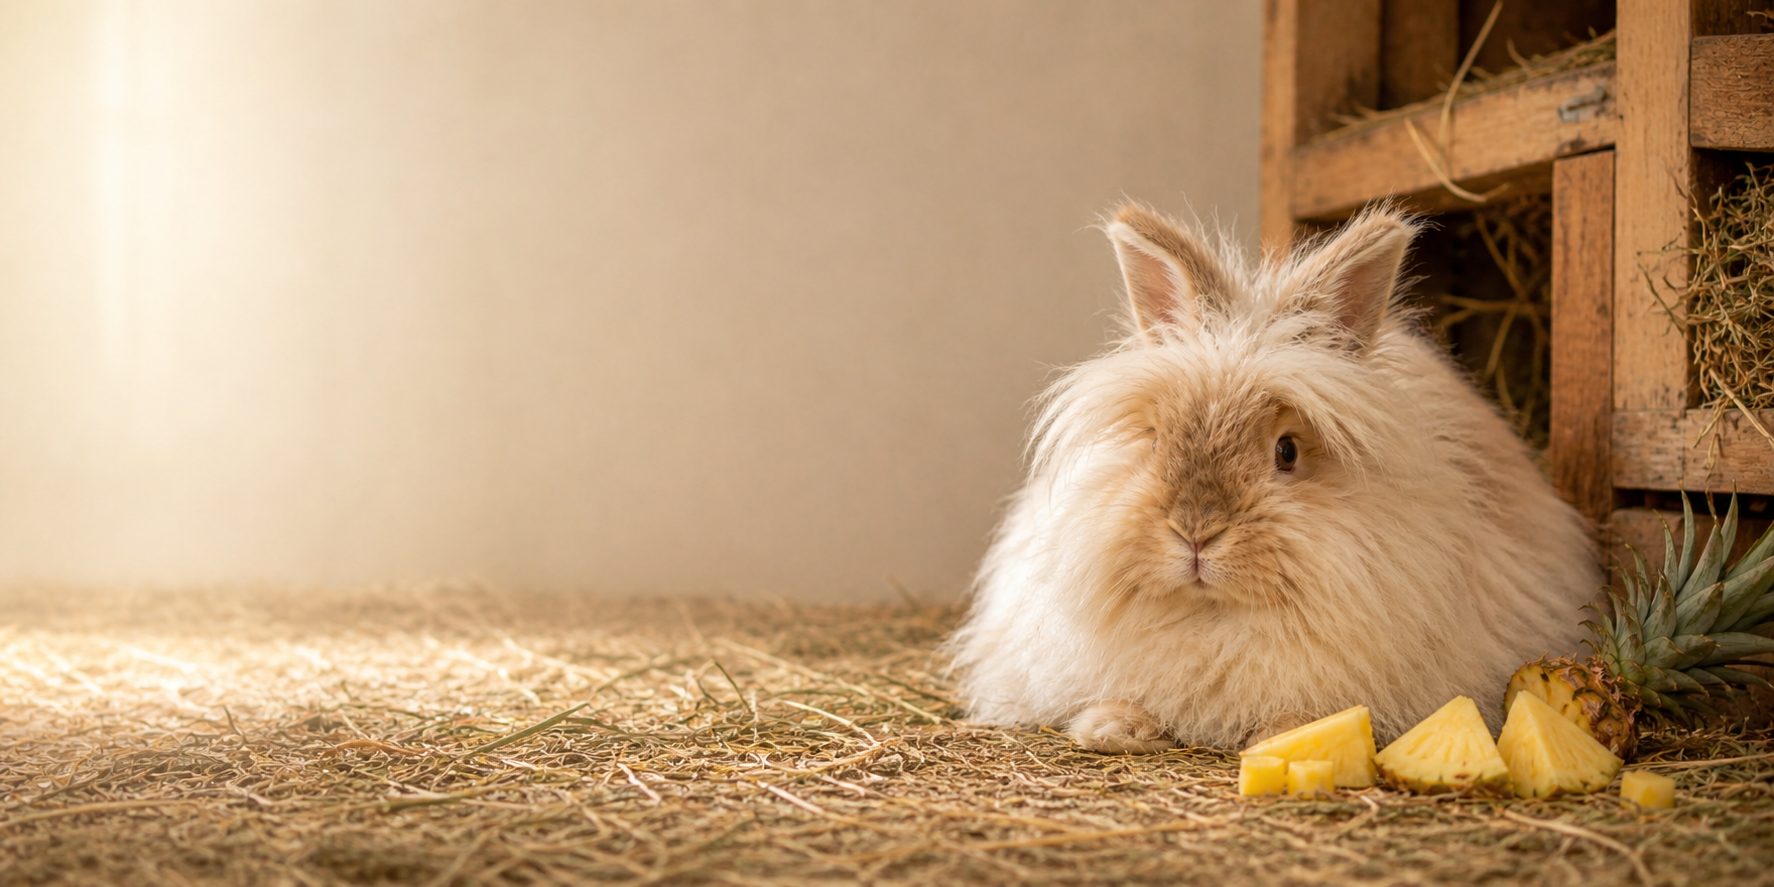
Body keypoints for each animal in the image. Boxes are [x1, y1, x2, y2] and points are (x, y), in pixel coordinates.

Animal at [944, 202, 1601, 752]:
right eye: (1154, 440)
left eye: (1286, 451)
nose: (1195, 534)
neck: (1215, 618)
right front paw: (1111, 728)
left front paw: (1282, 732)